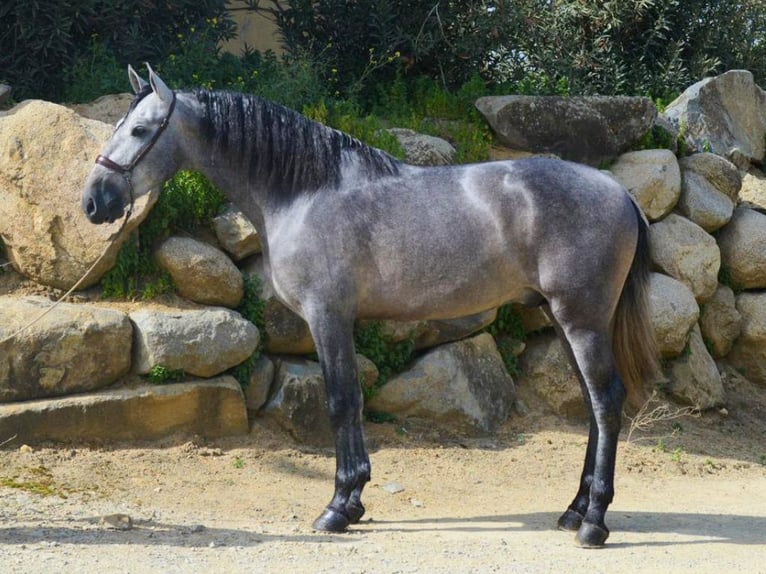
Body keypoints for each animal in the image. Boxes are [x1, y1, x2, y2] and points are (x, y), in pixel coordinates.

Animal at [82, 66, 660, 548]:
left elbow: (340, 402)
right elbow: (353, 400)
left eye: (139, 131)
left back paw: (593, 523)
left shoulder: (328, 317)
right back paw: (573, 510)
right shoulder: (341, 322)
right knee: (593, 403)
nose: (93, 201)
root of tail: (619, 191)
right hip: (566, 321)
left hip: (580, 319)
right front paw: (355, 501)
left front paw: (338, 507)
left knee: (606, 401)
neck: (304, 193)